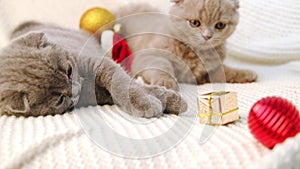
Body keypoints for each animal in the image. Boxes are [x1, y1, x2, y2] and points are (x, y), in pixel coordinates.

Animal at [0, 21, 188, 117]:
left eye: (69, 71)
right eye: (59, 100)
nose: (76, 89)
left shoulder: (99, 63)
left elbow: (123, 84)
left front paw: (170, 100)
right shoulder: (101, 95)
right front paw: (160, 100)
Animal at [113, 0, 256, 90]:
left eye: (220, 25)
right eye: (195, 23)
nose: (207, 36)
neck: (196, 52)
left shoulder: (209, 70)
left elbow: (224, 71)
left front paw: (244, 74)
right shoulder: (149, 55)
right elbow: (161, 66)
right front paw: (166, 81)